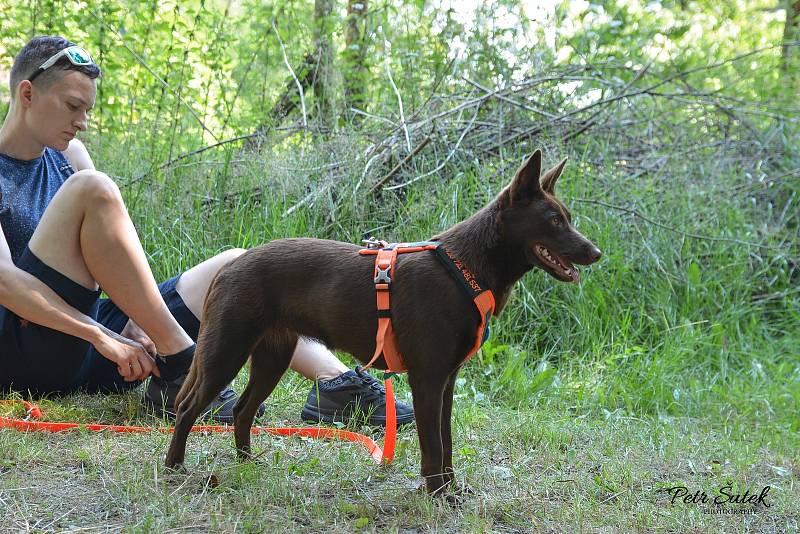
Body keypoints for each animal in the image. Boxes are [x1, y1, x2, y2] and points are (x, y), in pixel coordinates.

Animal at [164, 150, 600, 498]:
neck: (464, 268)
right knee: (186, 408)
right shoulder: (427, 379)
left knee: (242, 410)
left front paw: (450, 489)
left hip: (273, 357)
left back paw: (246, 463)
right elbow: (433, 447)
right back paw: (174, 469)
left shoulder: (447, 383)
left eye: (568, 218)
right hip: (227, 351)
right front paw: (437, 496)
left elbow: (447, 442)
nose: (595, 252)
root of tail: (230, 265)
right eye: (554, 221)